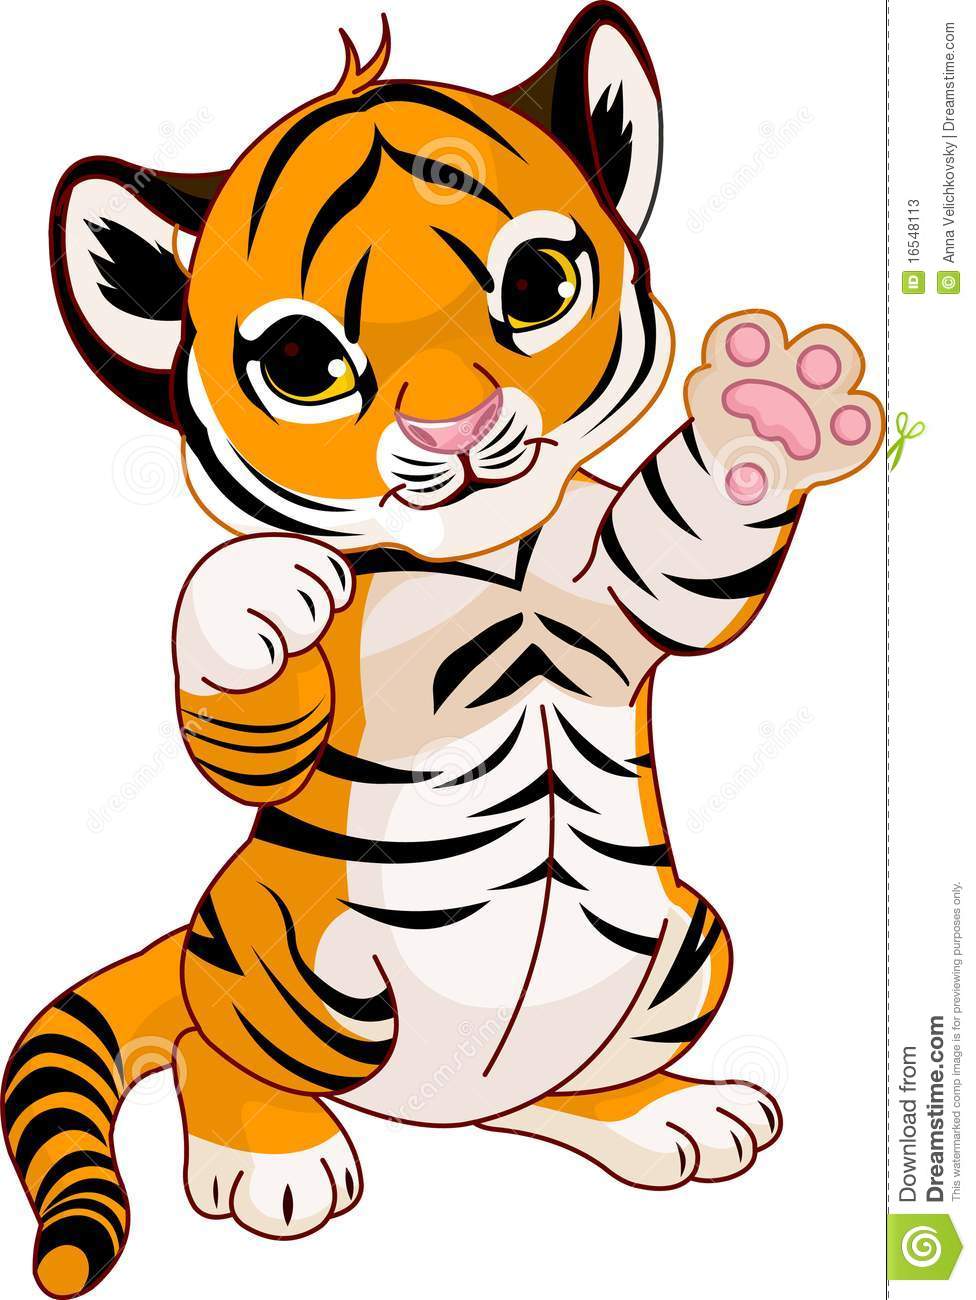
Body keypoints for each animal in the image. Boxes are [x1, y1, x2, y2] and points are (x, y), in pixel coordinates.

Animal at [2, 5, 883, 1297]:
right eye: (304, 364)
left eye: (537, 286)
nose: (453, 422)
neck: (491, 562)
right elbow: (252, 726)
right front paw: (253, 587)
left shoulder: (630, 578)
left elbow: (689, 551)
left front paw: (763, 422)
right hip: (300, 969)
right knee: (223, 1048)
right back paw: (273, 1153)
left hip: (682, 945)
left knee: (535, 1092)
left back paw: (660, 1112)